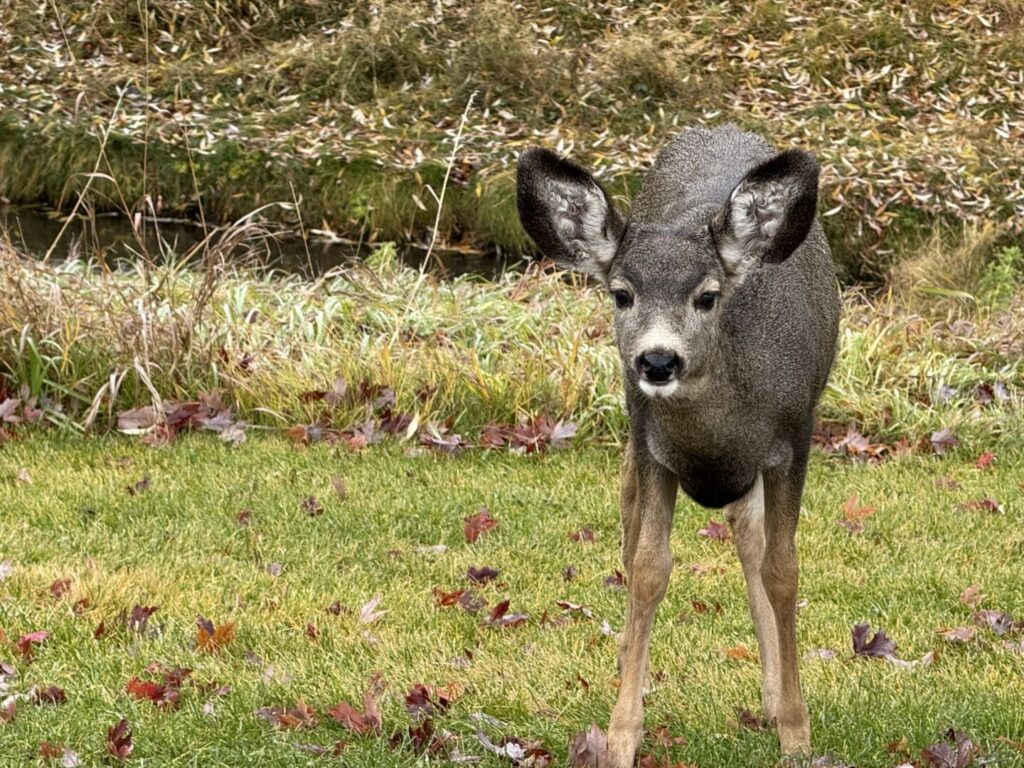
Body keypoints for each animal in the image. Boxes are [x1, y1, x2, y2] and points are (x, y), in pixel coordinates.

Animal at [516, 124, 841, 766]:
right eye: (621, 294)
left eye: (707, 296)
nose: (659, 360)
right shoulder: (652, 446)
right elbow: (647, 568)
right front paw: (620, 736)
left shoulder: (795, 437)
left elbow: (783, 570)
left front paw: (796, 732)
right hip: (632, 431)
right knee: (636, 517)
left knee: (750, 537)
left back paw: (771, 698)